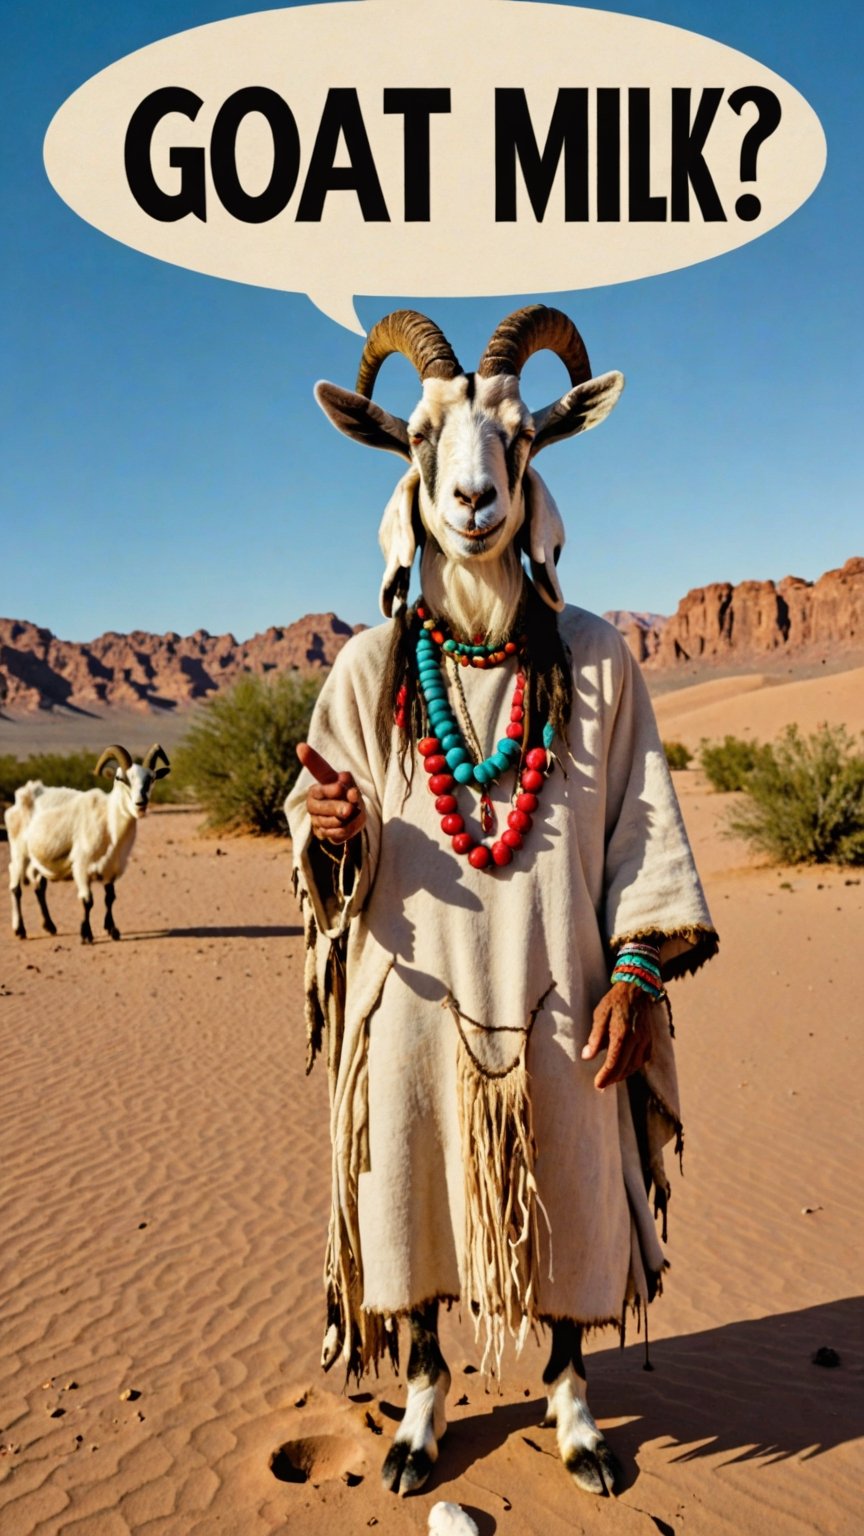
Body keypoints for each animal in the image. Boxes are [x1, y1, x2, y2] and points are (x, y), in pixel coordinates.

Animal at [6, 740, 169, 940]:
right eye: (120, 778)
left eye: (151, 779)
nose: (141, 803)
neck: (109, 826)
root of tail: (25, 793)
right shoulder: (81, 867)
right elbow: (87, 901)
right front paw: (86, 934)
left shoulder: (112, 869)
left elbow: (110, 898)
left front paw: (112, 930)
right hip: (19, 851)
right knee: (16, 885)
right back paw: (20, 930)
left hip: (39, 860)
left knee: (39, 886)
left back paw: (50, 926)